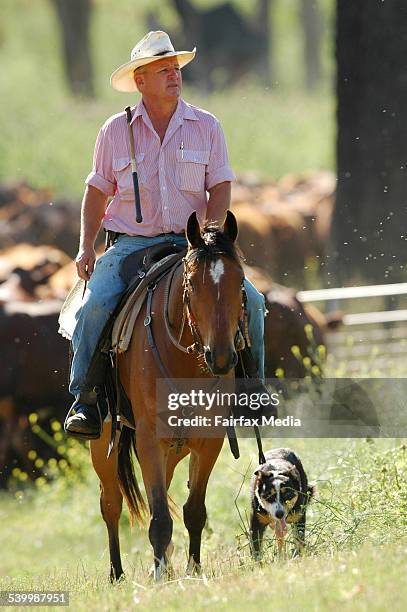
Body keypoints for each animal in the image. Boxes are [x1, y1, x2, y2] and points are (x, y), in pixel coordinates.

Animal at [89, 213, 245, 580]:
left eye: (240, 281)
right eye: (191, 285)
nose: (221, 357)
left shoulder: (209, 440)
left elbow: (193, 511)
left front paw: (192, 570)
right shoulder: (148, 439)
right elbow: (159, 517)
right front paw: (160, 577)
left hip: (174, 448)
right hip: (103, 440)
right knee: (111, 503)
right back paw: (117, 574)